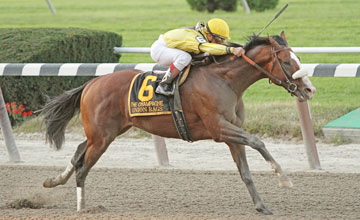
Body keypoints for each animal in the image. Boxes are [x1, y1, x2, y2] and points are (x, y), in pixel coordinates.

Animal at [40, 31, 314, 214]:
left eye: (299, 58)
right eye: (287, 62)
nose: (309, 90)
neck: (225, 81)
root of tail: (91, 83)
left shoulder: (231, 132)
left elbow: (245, 171)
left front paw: (261, 205)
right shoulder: (219, 129)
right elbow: (258, 141)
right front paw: (283, 178)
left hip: (103, 133)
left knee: (77, 154)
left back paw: (52, 182)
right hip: (102, 137)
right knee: (83, 167)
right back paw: (81, 207)